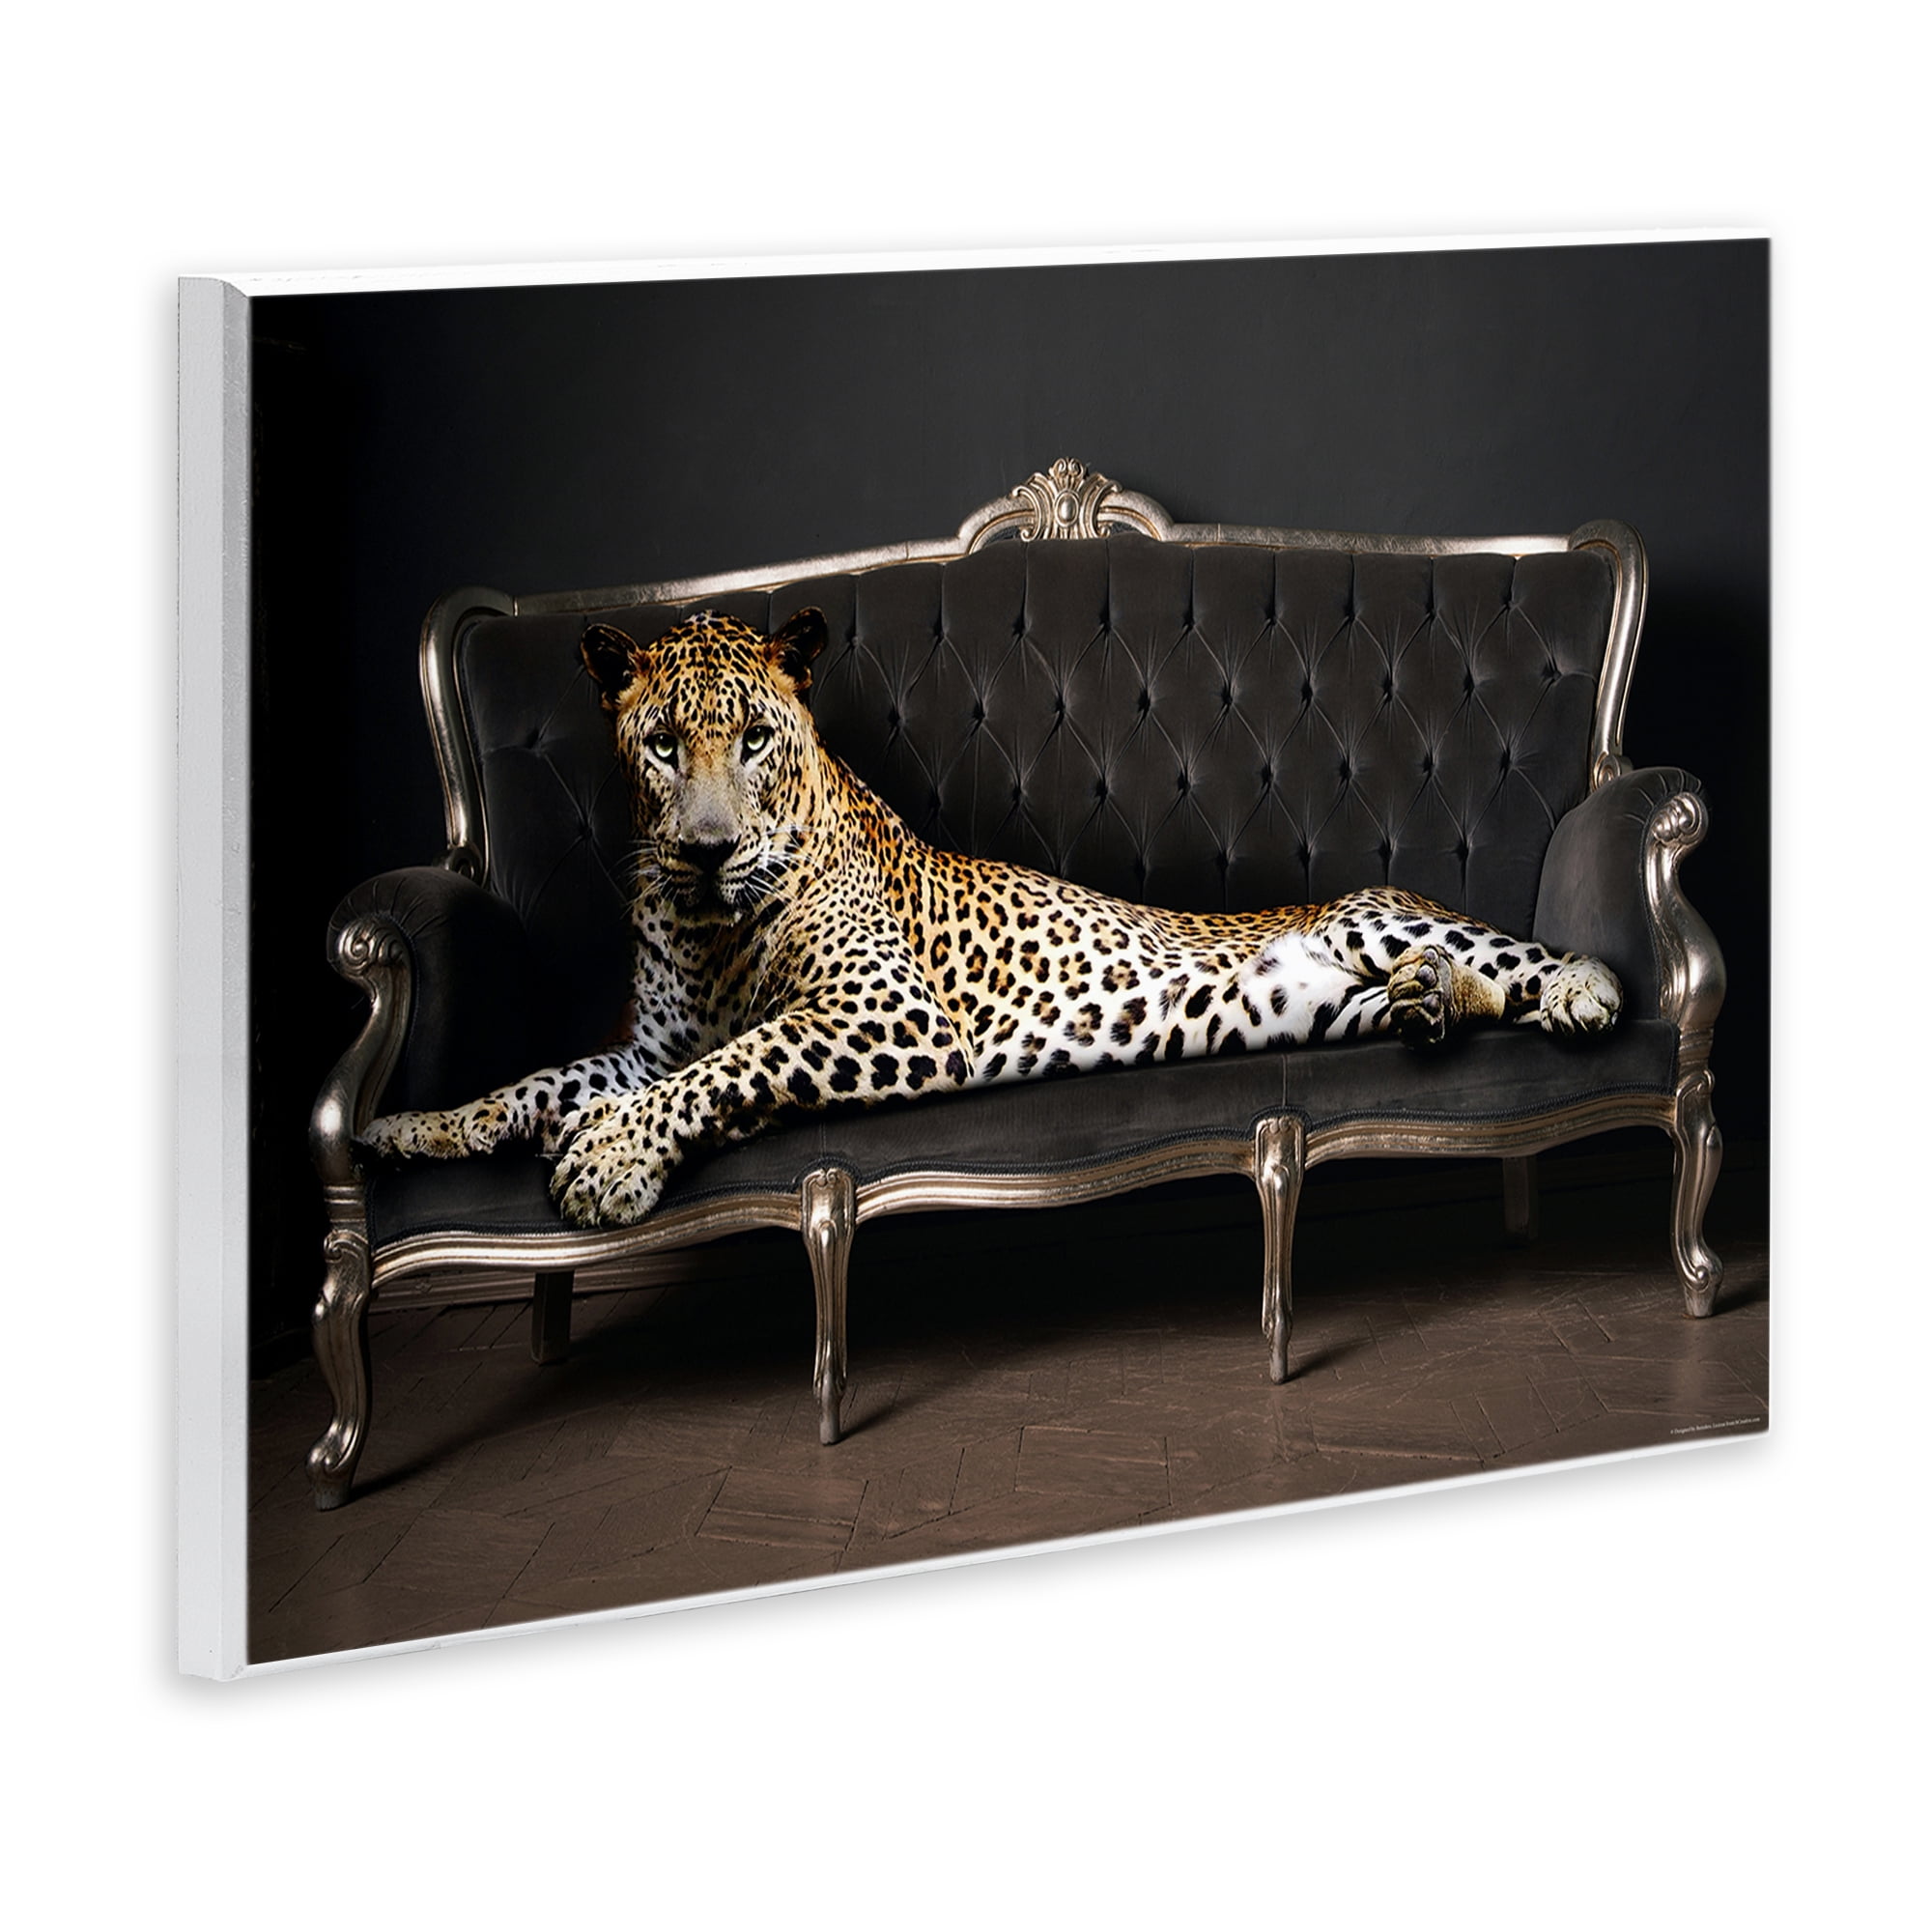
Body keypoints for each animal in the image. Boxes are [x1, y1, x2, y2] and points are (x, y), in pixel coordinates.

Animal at [362, 607, 1623, 1228]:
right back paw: (1424, 1010)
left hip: (1371, 914)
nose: (709, 850)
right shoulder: (651, 1044)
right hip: (1307, 1003)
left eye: (755, 737)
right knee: (1432, 994)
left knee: (1511, 959)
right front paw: (420, 1127)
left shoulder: (885, 1015)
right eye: (663, 744)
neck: (718, 928)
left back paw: (1570, 988)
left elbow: (735, 1064)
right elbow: (545, 1076)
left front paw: (610, 1154)